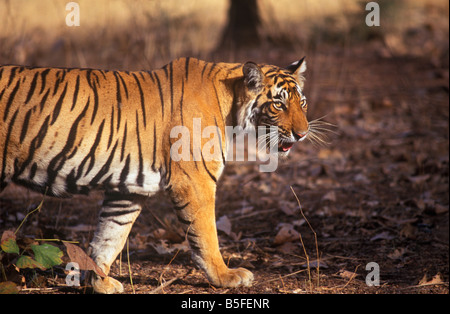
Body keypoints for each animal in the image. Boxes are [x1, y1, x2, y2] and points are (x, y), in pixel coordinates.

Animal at [0, 57, 310, 294]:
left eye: (303, 103)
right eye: (279, 104)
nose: (303, 133)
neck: (232, 105)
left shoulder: (127, 190)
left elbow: (110, 236)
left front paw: (100, 282)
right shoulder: (195, 182)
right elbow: (206, 235)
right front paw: (225, 276)